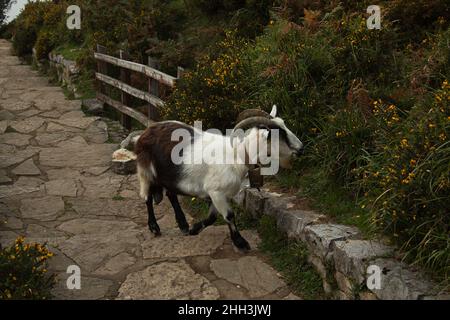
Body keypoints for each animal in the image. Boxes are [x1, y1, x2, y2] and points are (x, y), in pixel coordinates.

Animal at [134, 105, 302, 250]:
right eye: (279, 133)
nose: (301, 149)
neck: (237, 155)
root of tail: (146, 131)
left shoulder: (217, 194)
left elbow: (213, 217)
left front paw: (194, 229)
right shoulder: (216, 192)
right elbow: (229, 215)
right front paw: (240, 243)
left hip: (170, 176)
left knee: (170, 194)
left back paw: (183, 225)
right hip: (145, 171)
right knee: (147, 198)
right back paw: (154, 227)